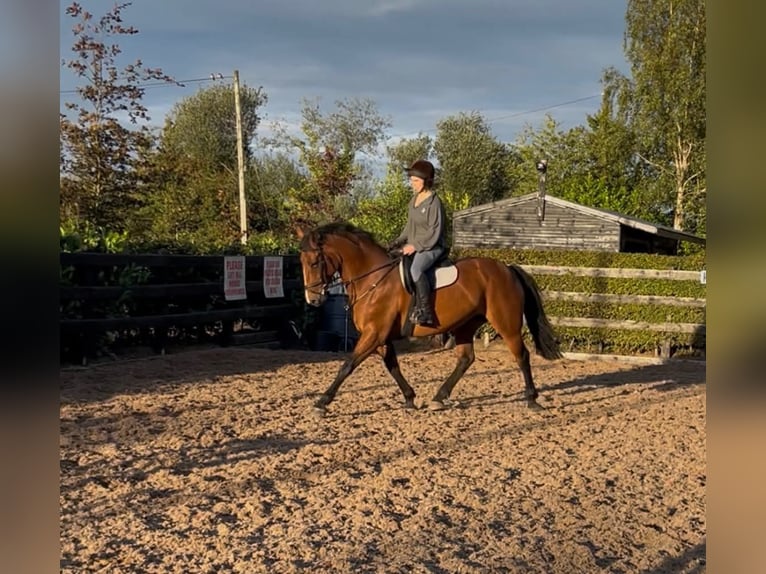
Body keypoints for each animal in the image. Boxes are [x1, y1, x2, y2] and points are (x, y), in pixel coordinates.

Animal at [296, 222, 563, 416]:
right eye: (301, 262)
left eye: (315, 262)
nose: (313, 300)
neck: (373, 279)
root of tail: (506, 268)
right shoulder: (380, 338)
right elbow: (392, 366)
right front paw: (410, 398)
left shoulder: (373, 335)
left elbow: (347, 365)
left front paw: (321, 402)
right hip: (466, 325)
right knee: (466, 359)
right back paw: (439, 397)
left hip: (506, 325)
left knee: (522, 356)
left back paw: (532, 399)